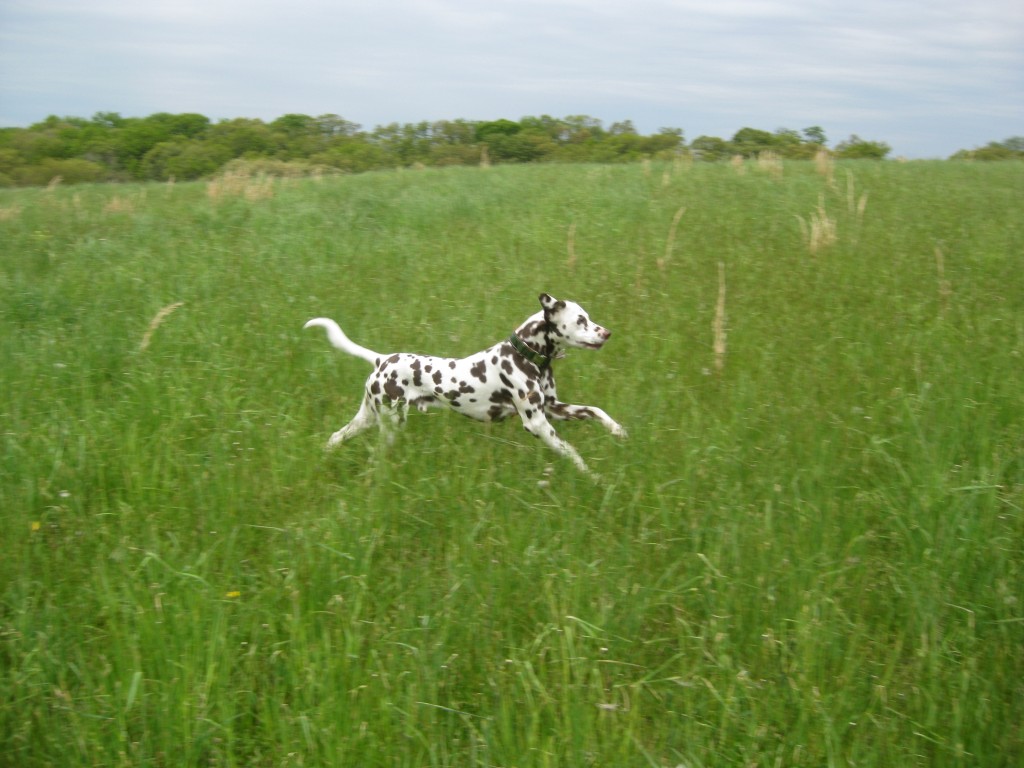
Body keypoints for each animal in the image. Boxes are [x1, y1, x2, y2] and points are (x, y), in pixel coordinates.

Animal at [299, 292, 626, 475]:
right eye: (581, 320)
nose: (607, 333)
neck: (524, 355)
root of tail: (381, 359)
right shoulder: (537, 423)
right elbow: (571, 452)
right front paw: (591, 476)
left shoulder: (554, 408)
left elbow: (595, 411)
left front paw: (618, 431)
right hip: (390, 425)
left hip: (367, 418)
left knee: (335, 438)